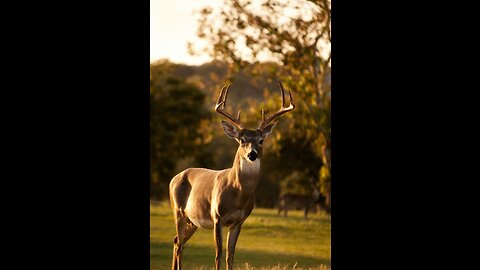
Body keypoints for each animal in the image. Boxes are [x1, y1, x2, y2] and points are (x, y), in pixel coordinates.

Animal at [169, 81, 296, 268]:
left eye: (261, 140)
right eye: (242, 140)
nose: (252, 154)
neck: (238, 195)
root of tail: (174, 178)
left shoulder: (238, 221)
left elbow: (231, 255)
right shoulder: (217, 217)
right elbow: (219, 255)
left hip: (193, 220)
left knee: (177, 241)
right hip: (178, 211)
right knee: (179, 244)